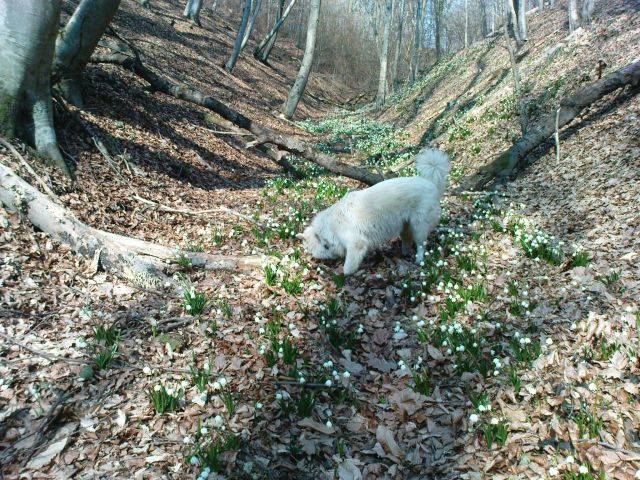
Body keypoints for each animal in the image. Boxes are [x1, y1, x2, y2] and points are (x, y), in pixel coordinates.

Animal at [302, 146, 448, 274]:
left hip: (419, 227)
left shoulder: (356, 244)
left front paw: (343, 274)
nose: (315, 263)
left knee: (421, 245)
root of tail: (431, 184)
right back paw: (404, 254)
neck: (328, 229)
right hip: (405, 226)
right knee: (407, 240)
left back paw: (418, 260)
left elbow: (347, 268)